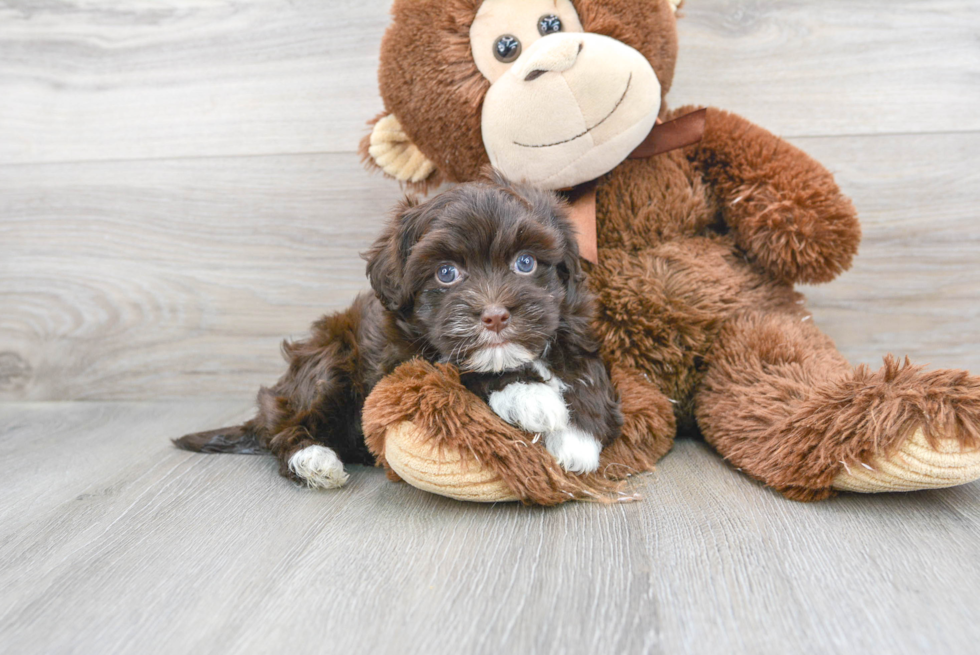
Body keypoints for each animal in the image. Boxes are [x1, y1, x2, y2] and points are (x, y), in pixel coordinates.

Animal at [175, 177, 620, 490]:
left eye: (525, 263)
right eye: (446, 273)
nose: (494, 316)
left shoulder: (573, 324)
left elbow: (587, 369)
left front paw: (578, 436)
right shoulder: (403, 363)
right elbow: (460, 372)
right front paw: (531, 396)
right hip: (327, 362)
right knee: (284, 428)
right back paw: (314, 460)